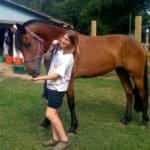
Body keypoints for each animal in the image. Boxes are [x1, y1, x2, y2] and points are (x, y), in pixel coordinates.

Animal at [12, 19, 149, 133]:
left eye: (27, 43)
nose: (32, 72)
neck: (66, 48)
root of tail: (139, 44)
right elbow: (51, 100)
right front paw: (45, 123)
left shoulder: (69, 79)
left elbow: (71, 102)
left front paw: (73, 127)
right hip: (122, 72)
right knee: (129, 93)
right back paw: (126, 119)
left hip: (137, 75)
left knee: (142, 94)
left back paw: (144, 121)